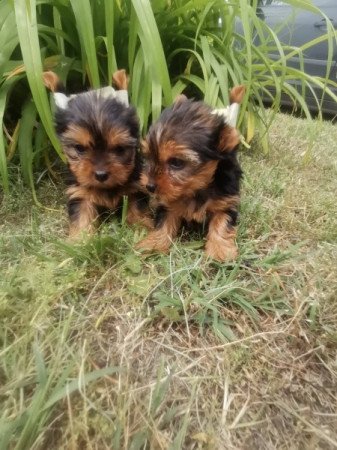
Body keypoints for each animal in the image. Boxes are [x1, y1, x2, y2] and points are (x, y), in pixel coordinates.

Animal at [42, 69, 150, 236]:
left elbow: (137, 210)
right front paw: (80, 240)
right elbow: (82, 217)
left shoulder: (135, 187)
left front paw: (142, 231)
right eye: (79, 148)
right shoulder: (80, 192)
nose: (101, 175)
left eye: (119, 149)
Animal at [136, 85, 244, 260]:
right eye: (149, 156)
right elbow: (164, 222)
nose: (149, 186)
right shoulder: (168, 203)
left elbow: (222, 222)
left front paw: (220, 251)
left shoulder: (226, 201)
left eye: (176, 163)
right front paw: (154, 244)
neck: (197, 188)